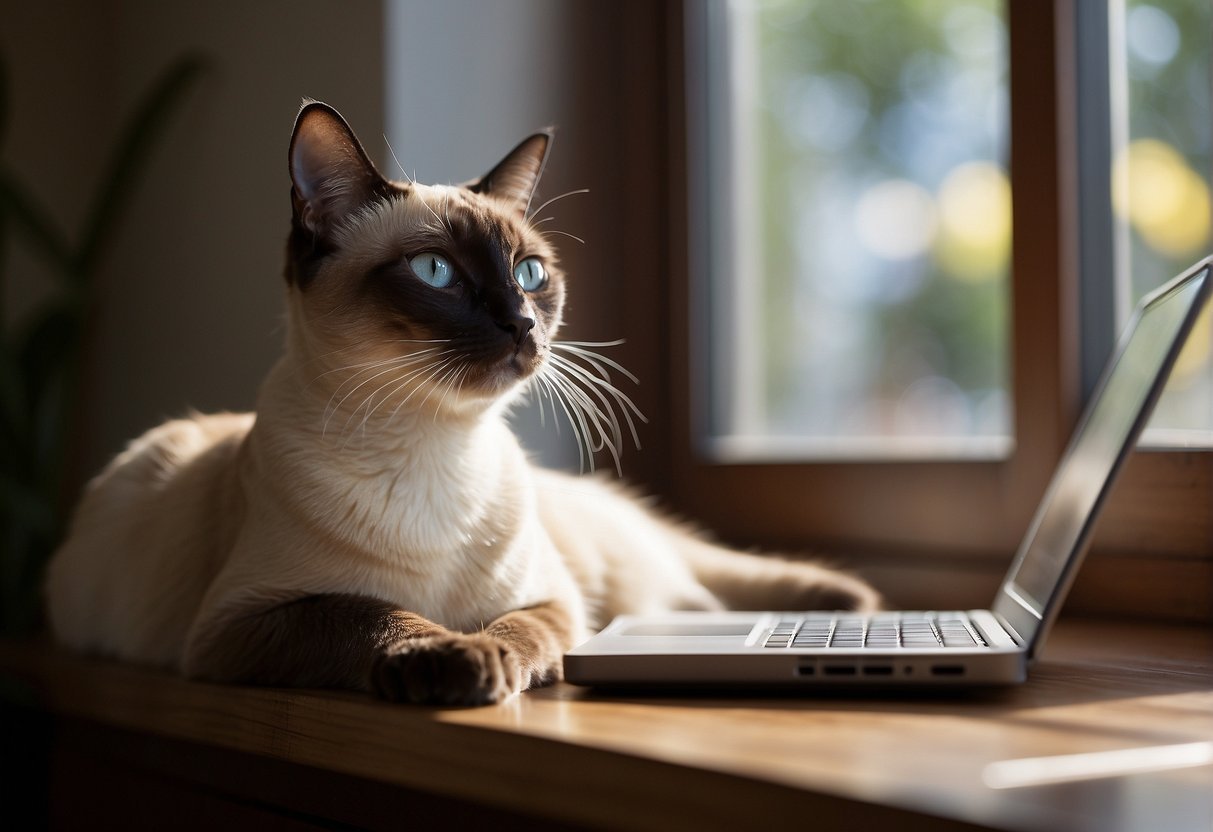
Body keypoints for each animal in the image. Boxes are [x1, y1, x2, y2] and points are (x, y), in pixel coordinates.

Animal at [44, 101, 883, 708]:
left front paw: (481, 658)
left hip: (624, 568)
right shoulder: (241, 623)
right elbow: (364, 611)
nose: (521, 323)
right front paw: (449, 657)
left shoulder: (555, 602)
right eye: (435, 272)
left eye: (530, 273)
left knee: (707, 578)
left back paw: (853, 606)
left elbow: (516, 629)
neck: (431, 446)